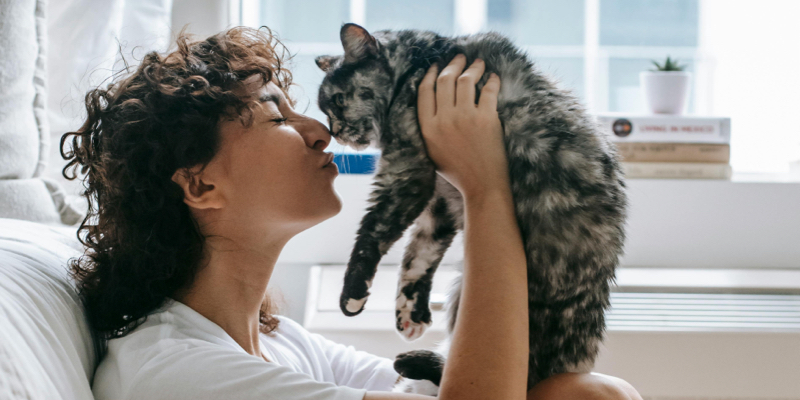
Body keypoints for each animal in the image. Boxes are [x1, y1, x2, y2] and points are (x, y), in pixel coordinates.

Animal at [316, 22, 628, 394]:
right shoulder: (440, 200)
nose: (334, 132)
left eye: (337, 100)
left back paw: (413, 362)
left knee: (525, 373)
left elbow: (373, 233)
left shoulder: (407, 174)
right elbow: (419, 256)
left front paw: (352, 294)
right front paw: (410, 312)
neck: (422, 60)